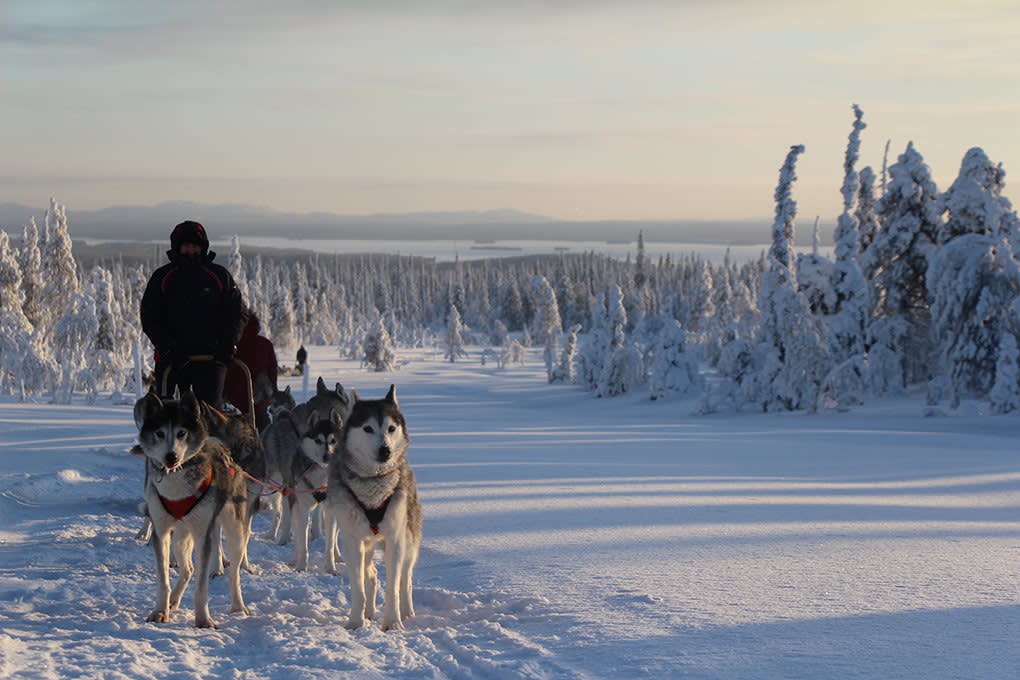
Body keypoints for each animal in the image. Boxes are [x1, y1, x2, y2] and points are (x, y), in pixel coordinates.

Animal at [133, 391, 250, 632]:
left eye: (181, 433)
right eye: (159, 433)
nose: (171, 457)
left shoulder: (203, 535)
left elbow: (202, 587)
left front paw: (203, 619)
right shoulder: (161, 532)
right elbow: (163, 579)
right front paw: (160, 611)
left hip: (235, 533)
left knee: (233, 573)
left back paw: (237, 606)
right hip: (179, 537)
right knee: (187, 569)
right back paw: (173, 600)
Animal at [328, 385, 420, 632]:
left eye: (391, 428)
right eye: (367, 428)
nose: (385, 450)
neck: (373, 486)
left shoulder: (395, 540)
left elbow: (393, 587)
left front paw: (393, 623)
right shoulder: (353, 540)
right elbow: (358, 586)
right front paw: (355, 621)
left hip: (408, 542)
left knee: (405, 580)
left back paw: (408, 612)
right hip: (366, 544)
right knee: (370, 574)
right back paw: (368, 612)